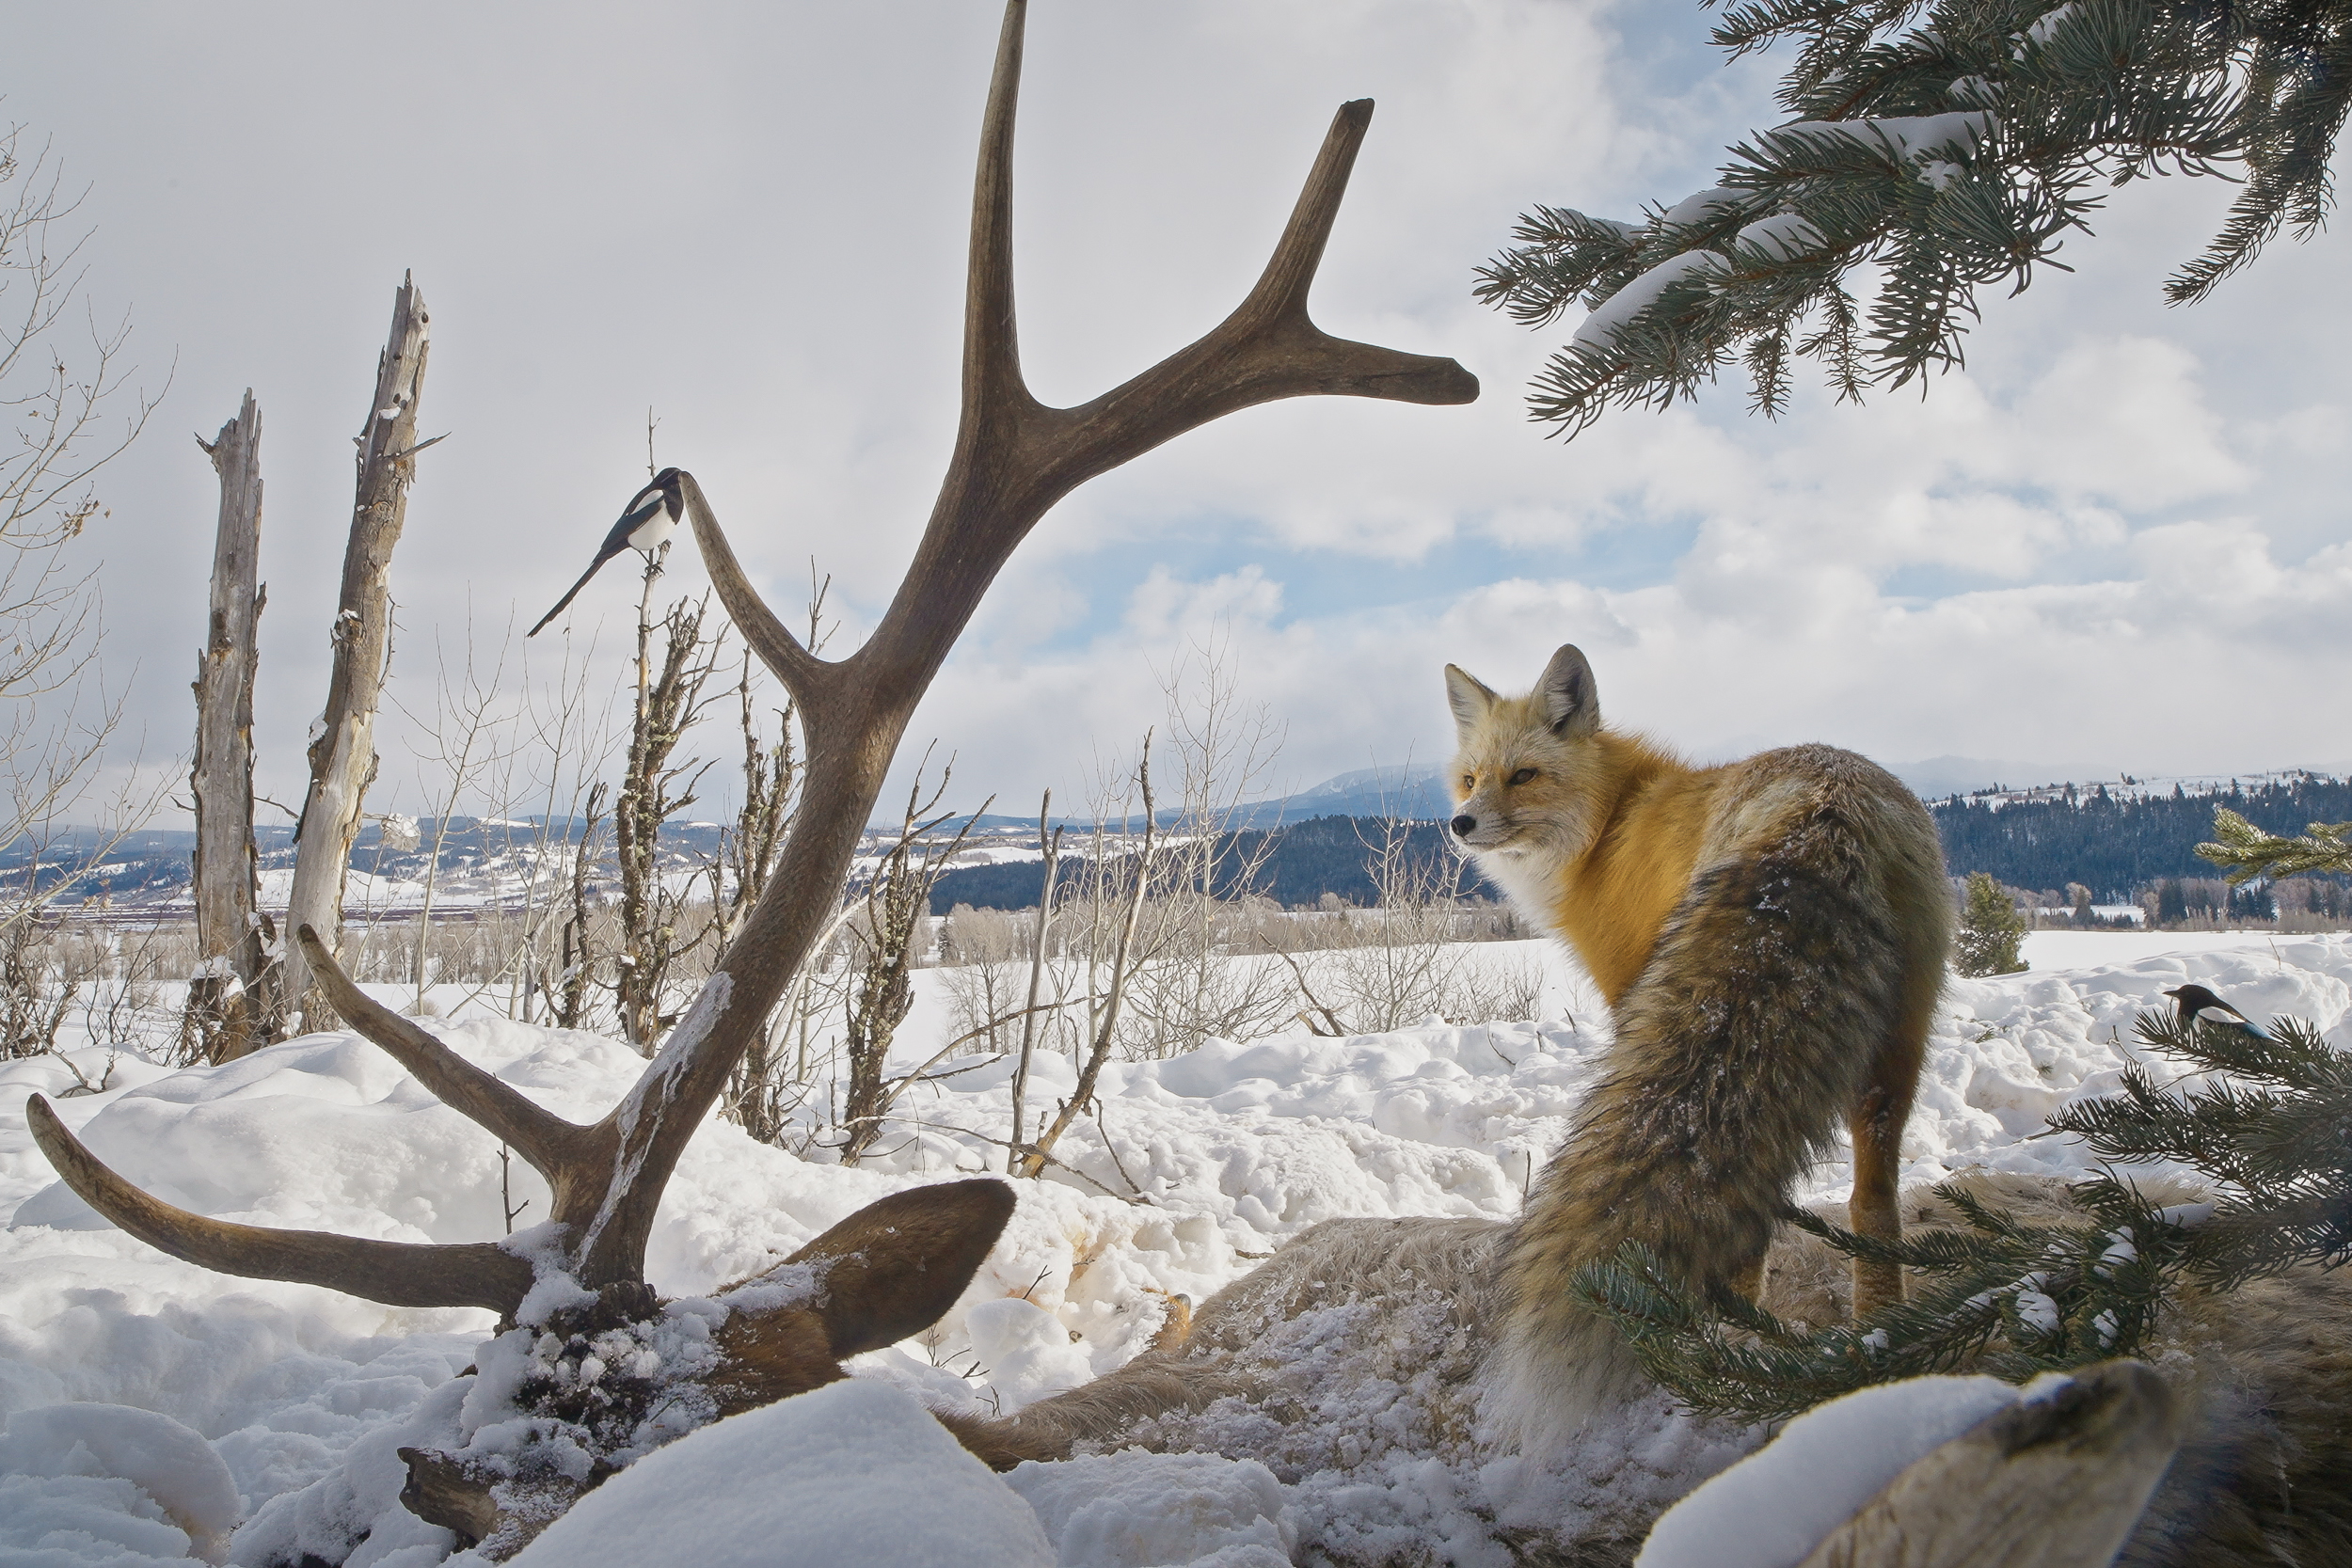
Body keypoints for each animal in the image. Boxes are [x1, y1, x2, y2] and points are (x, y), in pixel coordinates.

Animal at [1443, 644, 1951, 1446]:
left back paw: (1727, 1323)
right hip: (1896, 1054)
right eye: (1470, 777)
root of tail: (1830, 803)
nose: (1460, 823)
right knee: (1868, 1199)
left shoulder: (1629, 992)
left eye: (1522, 775)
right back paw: (1878, 1337)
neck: (1608, 826)